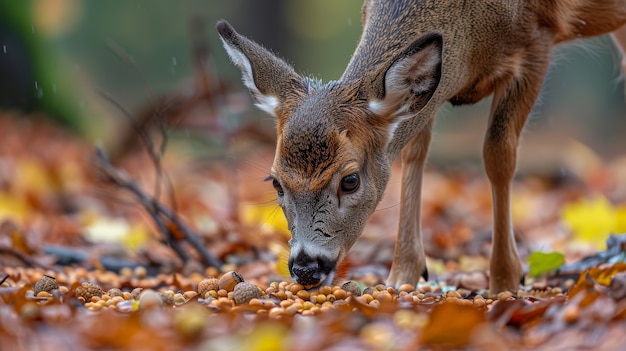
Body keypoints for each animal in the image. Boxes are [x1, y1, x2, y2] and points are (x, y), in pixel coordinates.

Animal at [216, 0, 624, 296]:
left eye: (350, 180)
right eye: (275, 182)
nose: (305, 268)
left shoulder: (537, 41)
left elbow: (498, 154)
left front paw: (507, 280)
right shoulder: (427, 92)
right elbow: (414, 152)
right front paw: (403, 275)